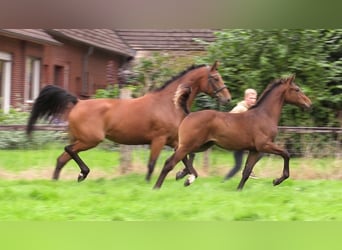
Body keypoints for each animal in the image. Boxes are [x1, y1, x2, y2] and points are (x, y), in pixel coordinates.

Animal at [25, 60, 231, 182]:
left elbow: (187, 161)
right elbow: (152, 165)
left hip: (81, 139)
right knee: (68, 151)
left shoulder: (175, 141)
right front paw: (151, 184)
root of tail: (77, 102)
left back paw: (59, 180)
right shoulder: (159, 140)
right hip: (90, 140)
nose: (227, 99)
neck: (169, 103)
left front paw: (183, 175)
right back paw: (83, 172)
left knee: (61, 159)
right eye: (215, 78)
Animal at [154, 75, 312, 190]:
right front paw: (277, 180)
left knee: (182, 155)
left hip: (200, 145)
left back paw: (186, 177)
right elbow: (286, 154)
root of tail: (189, 114)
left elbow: (246, 171)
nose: (309, 104)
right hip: (190, 144)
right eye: (297, 89)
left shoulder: (254, 150)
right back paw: (158, 187)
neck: (264, 115)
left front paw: (239, 190)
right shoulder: (264, 145)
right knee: (169, 162)